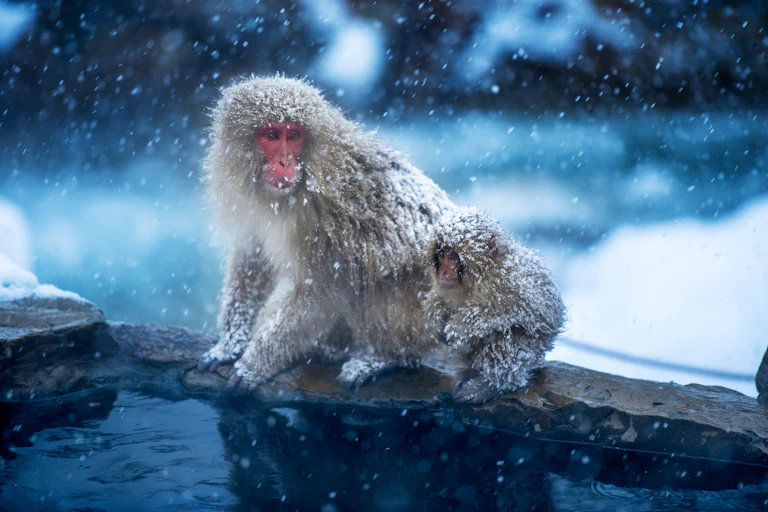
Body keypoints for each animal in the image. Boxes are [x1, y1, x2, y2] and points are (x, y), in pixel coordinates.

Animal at [197, 75, 456, 390]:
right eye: (271, 134)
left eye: (294, 136)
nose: (285, 162)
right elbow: (253, 259)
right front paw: (230, 343)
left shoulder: (325, 224)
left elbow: (322, 295)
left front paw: (254, 364)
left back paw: (383, 357)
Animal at [423, 207, 566, 403]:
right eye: (442, 254)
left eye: (452, 256)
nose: (443, 272)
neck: (481, 275)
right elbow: (439, 298)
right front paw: (434, 315)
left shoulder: (510, 280)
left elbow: (523, 311)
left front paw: (459, 327)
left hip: (532, 351)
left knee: (506, 337)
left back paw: (489, 386)